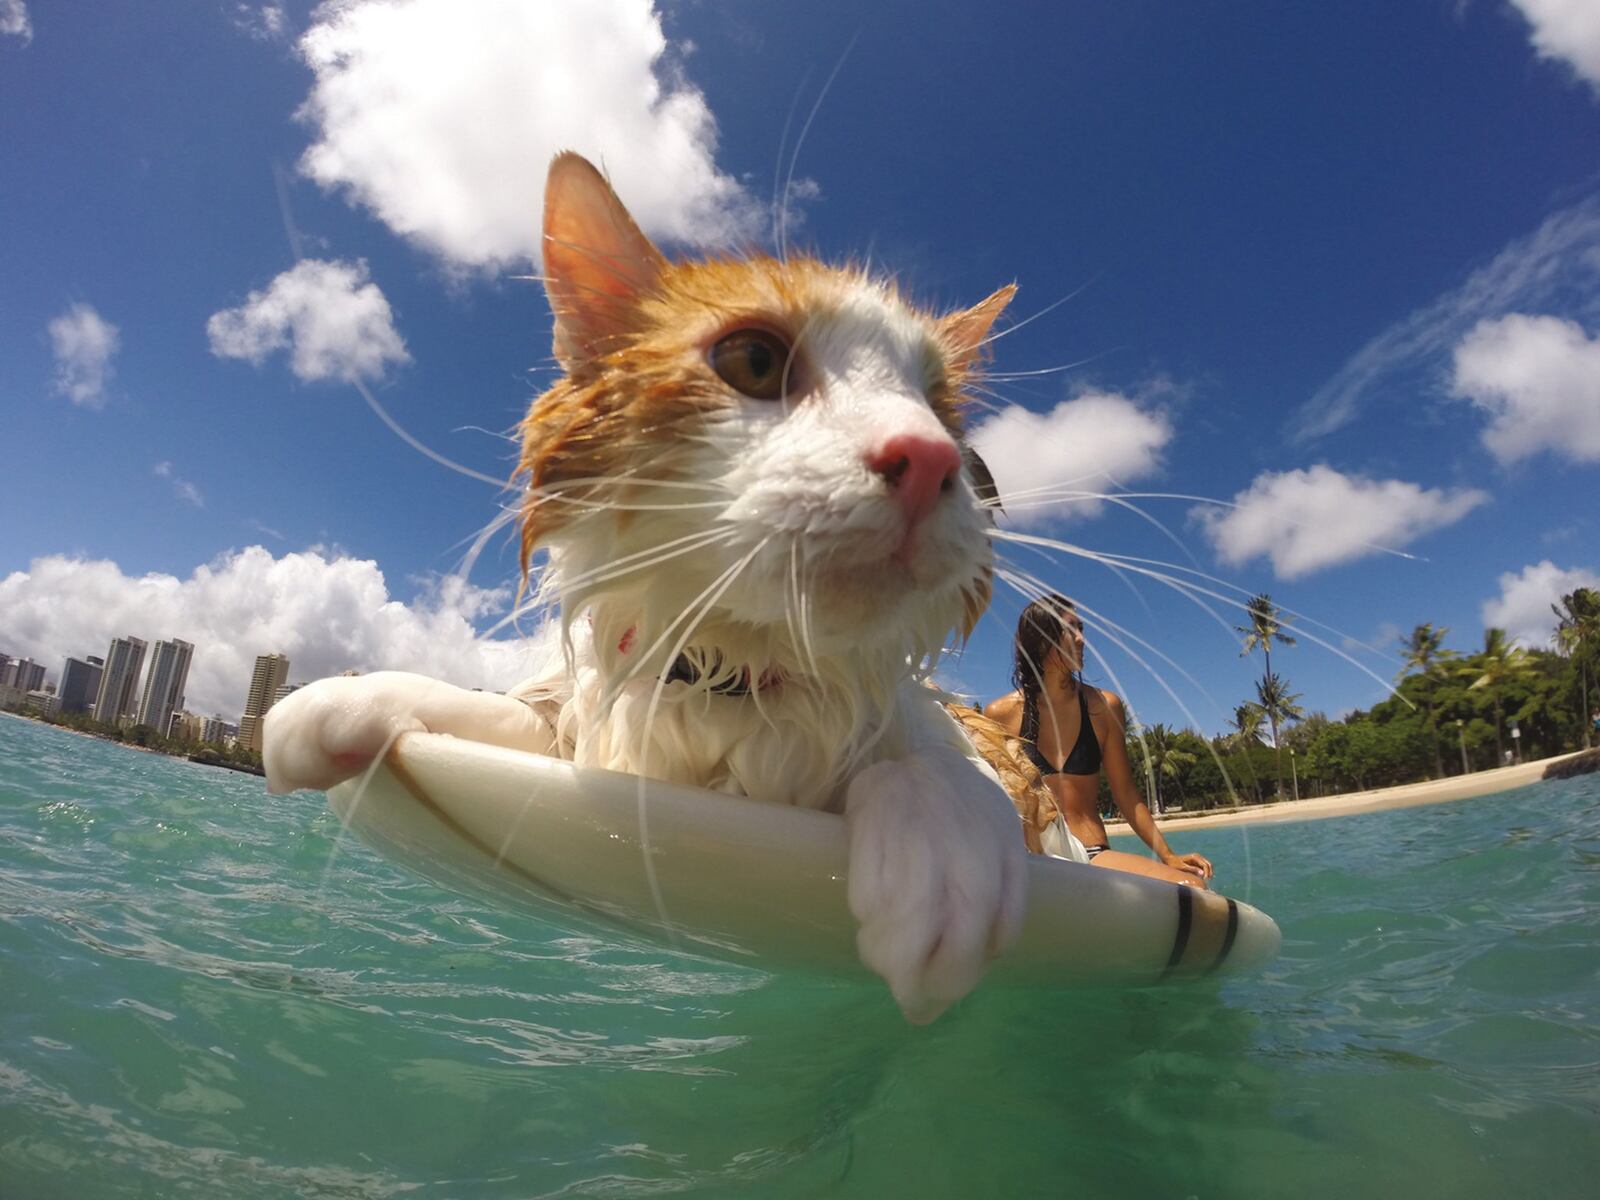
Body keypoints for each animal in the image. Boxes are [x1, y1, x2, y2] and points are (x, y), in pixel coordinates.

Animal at [265, 152, 1036, 1024]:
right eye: (755, 361)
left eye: (940, 413)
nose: (931, 458)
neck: (727, 676)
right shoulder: (584, 739)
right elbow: (496, 712)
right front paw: (347, 698)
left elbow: (935, 764)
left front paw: (944, 846)